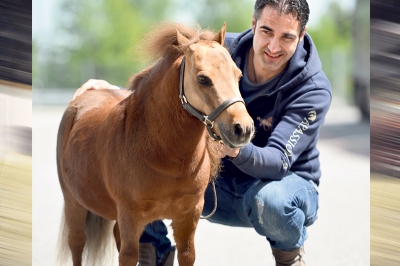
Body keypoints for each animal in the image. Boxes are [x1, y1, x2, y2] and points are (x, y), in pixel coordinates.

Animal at [56, 21, 255, 264]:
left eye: (238, 75)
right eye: (202, 79)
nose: (242, 129)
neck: (165, 155)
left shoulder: (188, 216)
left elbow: (186, 254)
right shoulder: (131, 217)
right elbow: (129, 256)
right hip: (74, 203)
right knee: (77, 243)